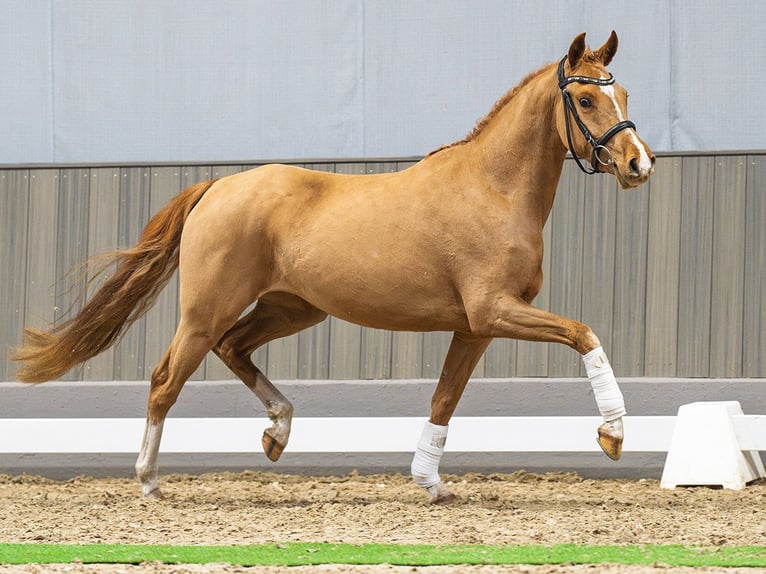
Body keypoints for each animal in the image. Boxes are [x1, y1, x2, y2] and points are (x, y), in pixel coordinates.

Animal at [13, 33, 656, 506]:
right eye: (587, 99)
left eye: (624, 92)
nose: (638, 165)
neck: (493, 190)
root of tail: (217, 186)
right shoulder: (495, 311)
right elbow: (584, 334)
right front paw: (613, 434)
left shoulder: (474, 327)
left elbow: (444, 400)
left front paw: (431, 483)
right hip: (205, 310)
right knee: (166, 378)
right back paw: (148, 479)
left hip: (294, 309)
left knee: (233, 347)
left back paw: (277, 431)